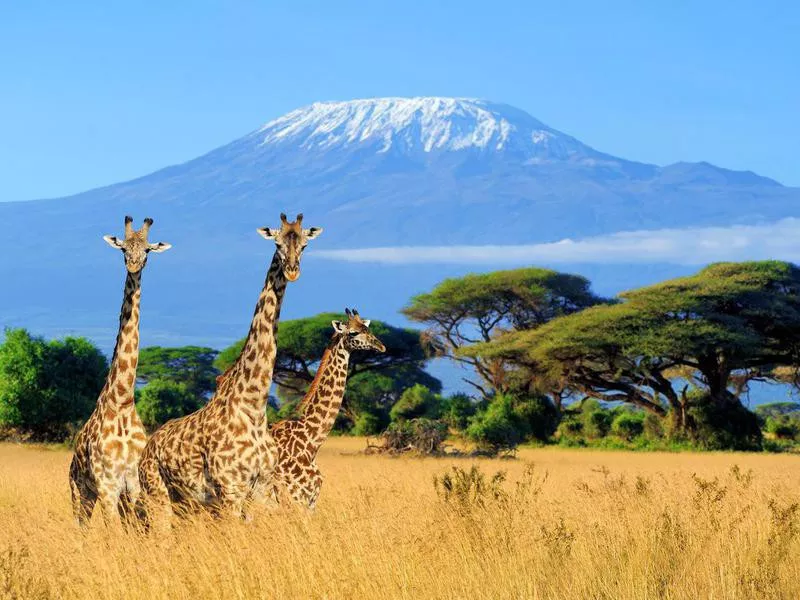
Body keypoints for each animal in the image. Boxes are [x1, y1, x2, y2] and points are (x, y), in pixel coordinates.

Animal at [70, 216, 173, 524]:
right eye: (123, 248)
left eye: (148, 250)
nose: (134, 265)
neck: (123, 400)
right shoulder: (107, 486)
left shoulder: (134, 485)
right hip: (80, 491)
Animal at [138, 212, 322, 524]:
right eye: (277, 243)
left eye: (305, 245)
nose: (292, 271)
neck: (253, 406)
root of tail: (148, 448)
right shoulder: (230, 489)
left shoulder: (262, 488)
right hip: (158, 495)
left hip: (186, 503)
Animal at [270, 310, 386, 510]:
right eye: (353, 333)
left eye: (367, 328)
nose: (382, 346)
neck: (311, 441)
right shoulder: (296, 496)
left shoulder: (310, 500)